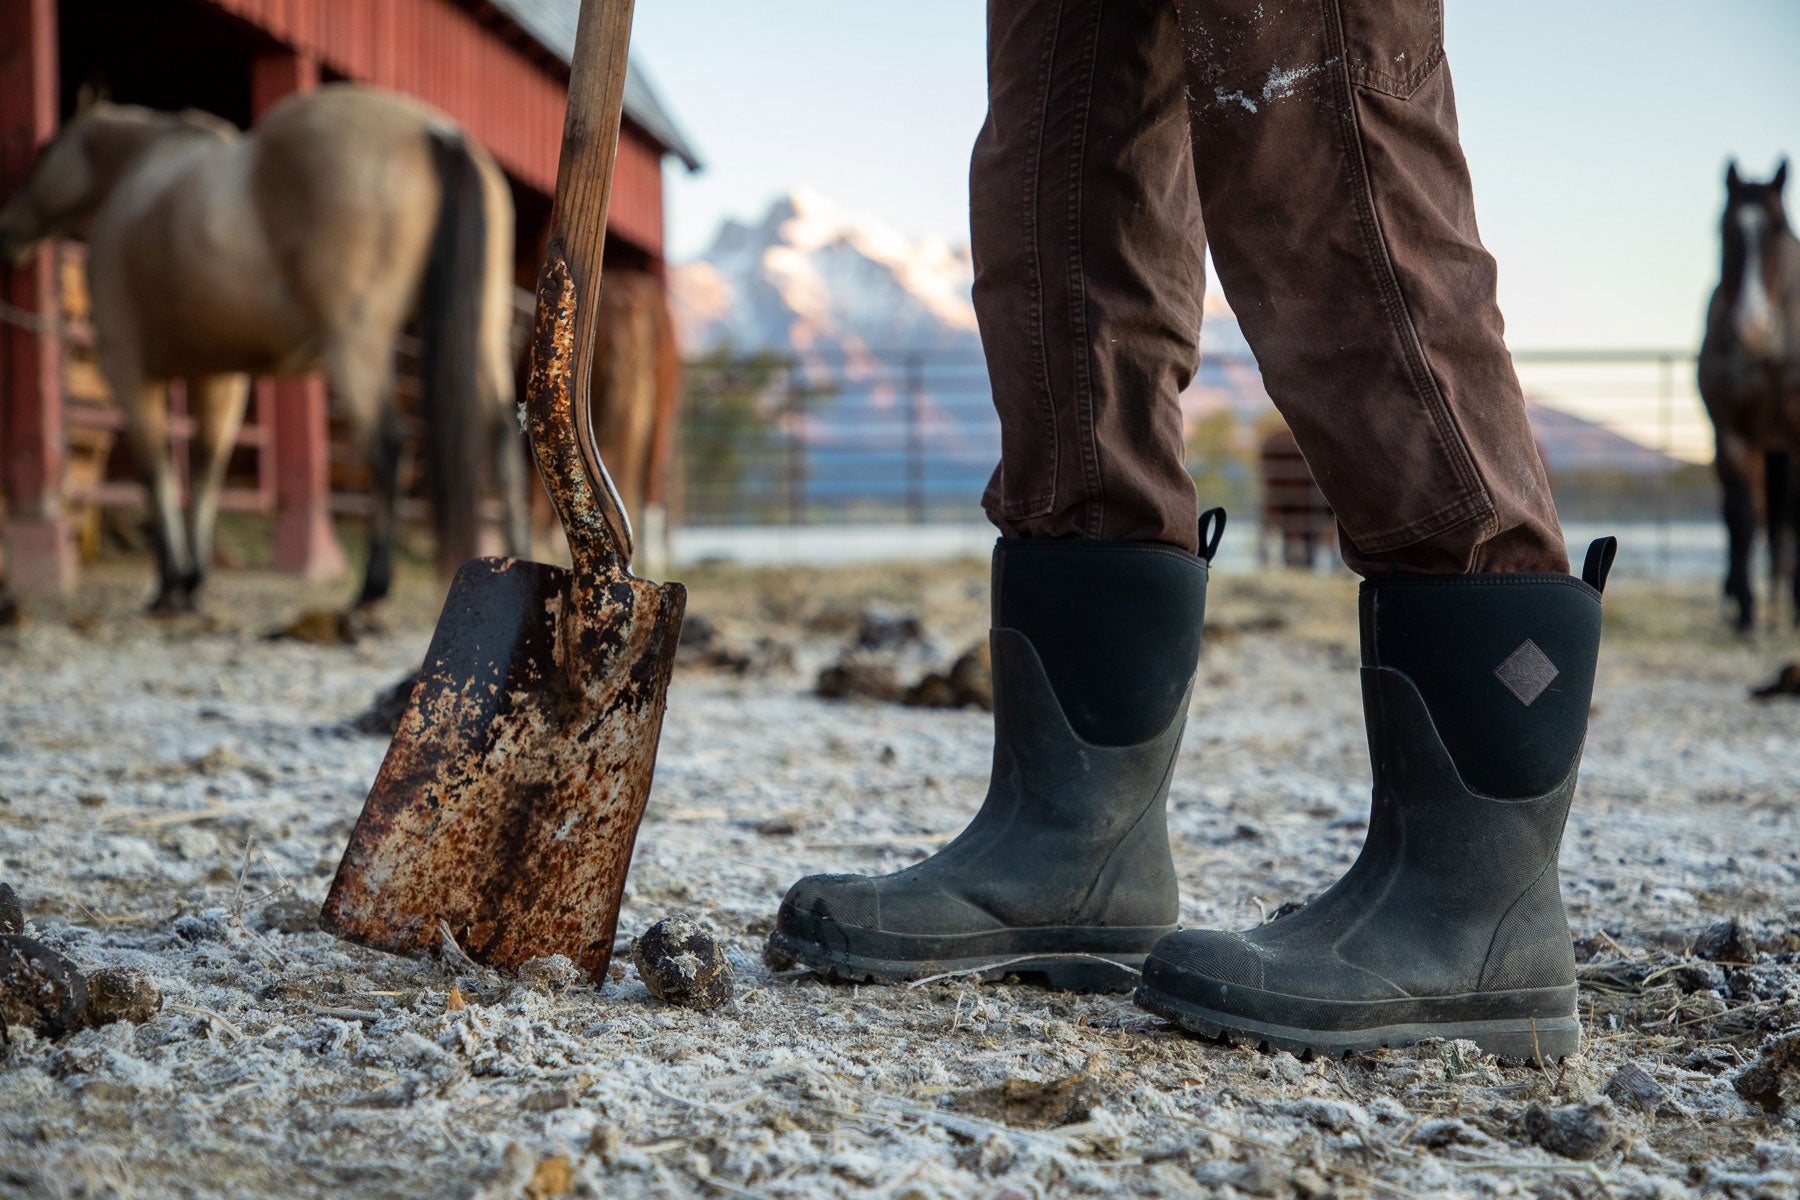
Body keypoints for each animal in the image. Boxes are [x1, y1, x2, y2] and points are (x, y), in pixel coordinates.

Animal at [0, 86, 525, 611]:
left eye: (44, 148)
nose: (8, 231)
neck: (137, 172)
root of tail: (436, 132)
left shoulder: (126, 367)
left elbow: (157, 473)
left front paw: (170, 582)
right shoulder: (217, 376)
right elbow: (206, 467)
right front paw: (193, 579)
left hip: (355, 340)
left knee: (387, 445)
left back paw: (371, 588)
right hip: (484, 334)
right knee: (503, 440)